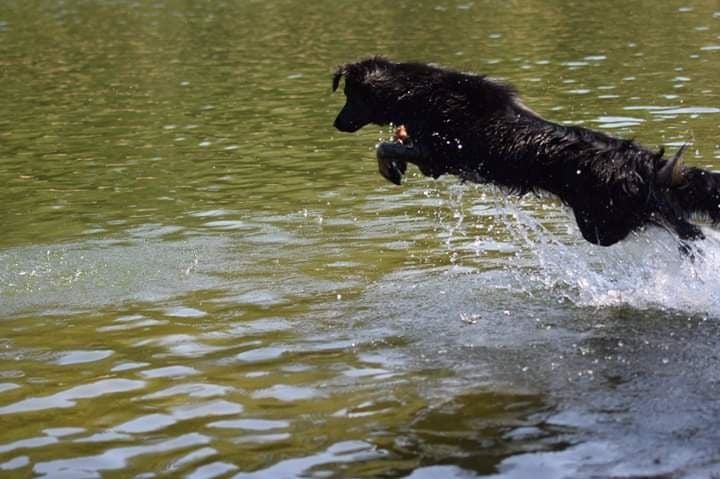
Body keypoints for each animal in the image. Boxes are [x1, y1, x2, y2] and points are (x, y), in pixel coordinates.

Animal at [330, 57, 720, 248]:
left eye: (350, 96)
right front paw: (393, 165)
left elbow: (384, 145)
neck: (418, 92)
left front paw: (389, 165)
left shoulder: (436, 157)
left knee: (682, 228)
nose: (336, 123)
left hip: (604, 225)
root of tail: (644, 164)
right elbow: (392, 144)